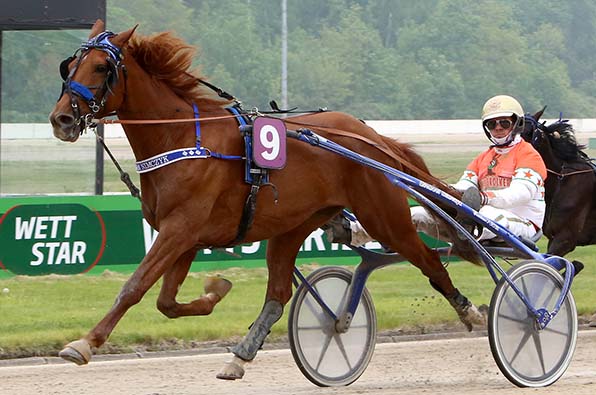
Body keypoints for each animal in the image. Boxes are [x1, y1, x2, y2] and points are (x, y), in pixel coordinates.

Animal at [50, 20, 484, 380]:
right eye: (69, 66)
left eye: (102, 67)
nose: (61, 120)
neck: (182, 138)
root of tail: (369, 135)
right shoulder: (184, 238)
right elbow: (167, 302)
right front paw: (217, 289)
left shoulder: (180, 229)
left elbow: (135, 286)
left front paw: (84, 343)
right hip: (293, 226)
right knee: (278, 295)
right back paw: (240, 356)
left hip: (384, 216)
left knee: (429, 260)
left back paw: (471, 311)